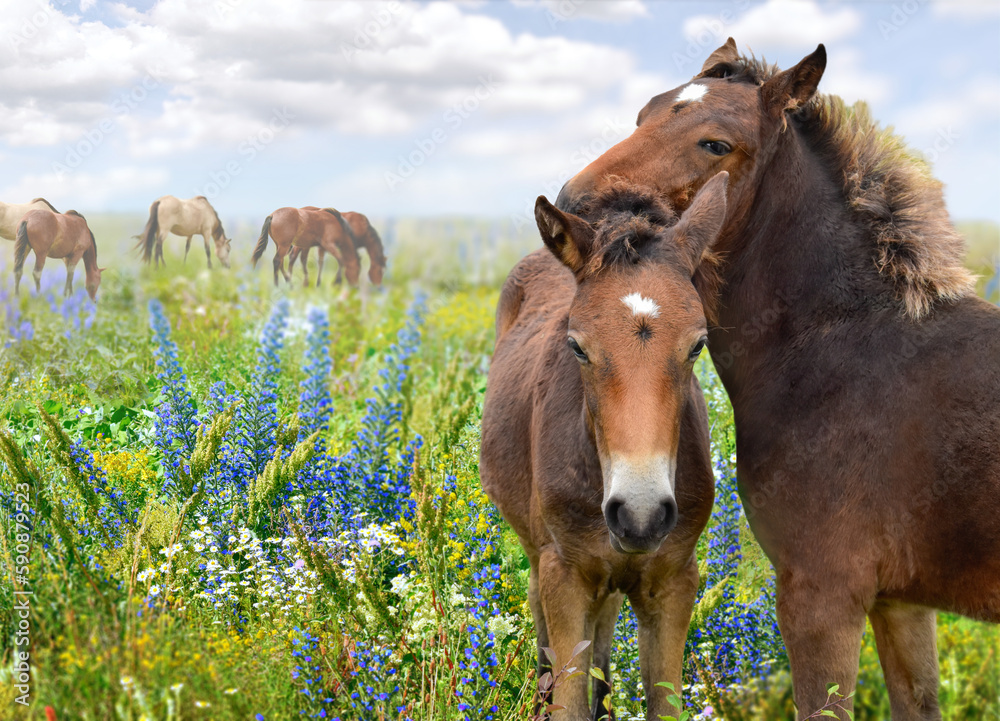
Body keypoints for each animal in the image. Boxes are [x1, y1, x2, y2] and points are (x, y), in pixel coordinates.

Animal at [476, 172, 728, 716]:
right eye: (577, 346)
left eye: (698, 345)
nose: (641, 513)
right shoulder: (566, 576)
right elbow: (567, 702)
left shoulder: (674, 580)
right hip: (540, 555)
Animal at [560, 39, 1000, 720]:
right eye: (642, 115)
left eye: (716, 143)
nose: (571, 208)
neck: (847, 350)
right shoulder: (902, 603)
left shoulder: (821, 596)